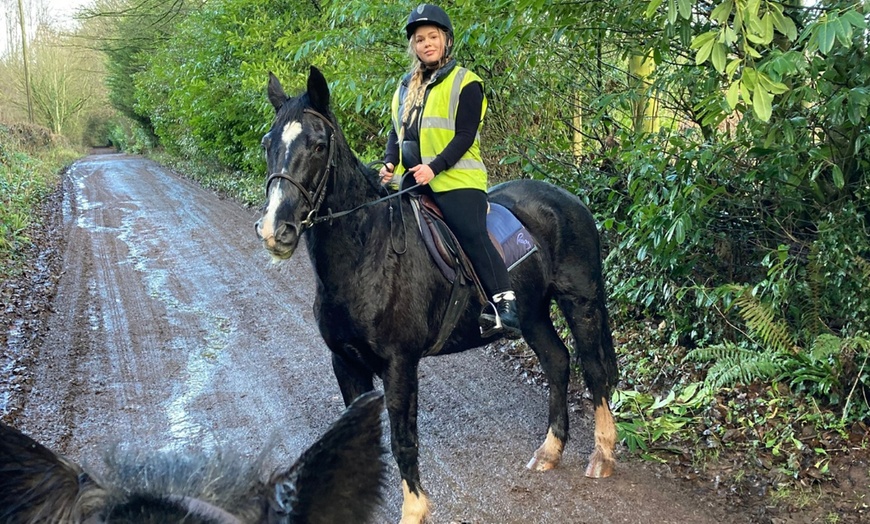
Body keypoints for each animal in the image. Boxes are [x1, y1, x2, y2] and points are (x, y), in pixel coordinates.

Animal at [255, 66, 616, 524]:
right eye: (268, 143)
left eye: (319, 145)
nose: (275, 231)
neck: (367, 250)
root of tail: (569, 200)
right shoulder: (346, 364)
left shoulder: (399, 364)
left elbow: (403, 439)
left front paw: (414, 509)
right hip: (533, 312)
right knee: (557, 361)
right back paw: (550, 451)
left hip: (580, 301)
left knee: (594, 369)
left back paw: (602, 456)